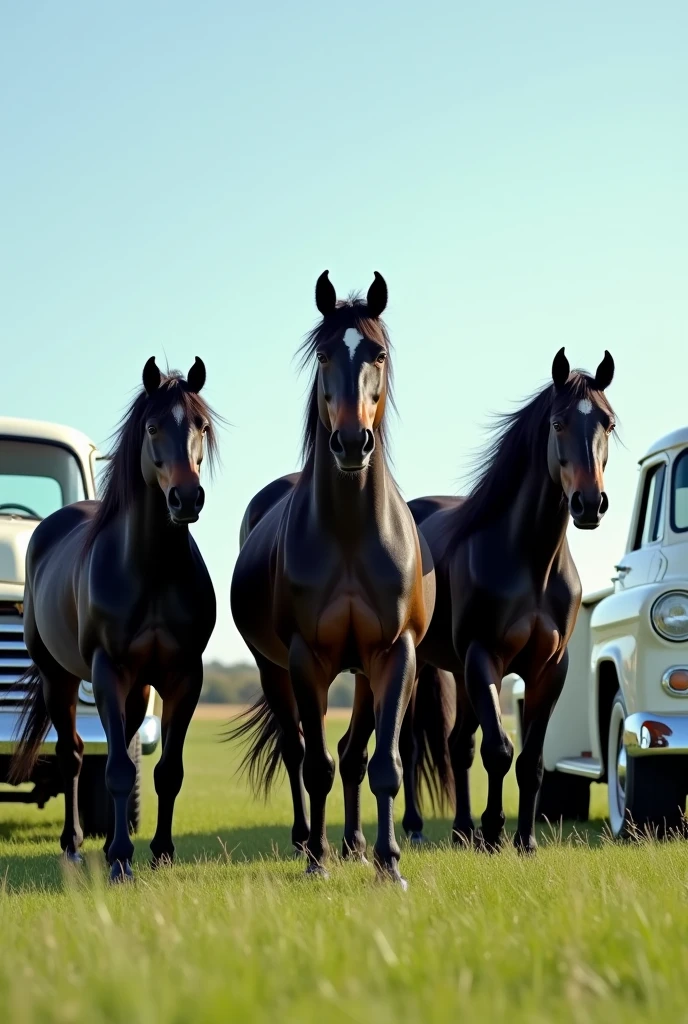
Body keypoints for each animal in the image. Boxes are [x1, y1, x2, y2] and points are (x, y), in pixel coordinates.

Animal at [232, 272, 436, 888]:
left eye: (379, 352)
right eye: (324, 354)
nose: (350, 442)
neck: (348, 533)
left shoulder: (394, 653)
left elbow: (382, 763)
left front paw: (389, 863)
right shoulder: (306, 658)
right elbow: (316, 765)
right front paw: (317, 863)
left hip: (365, 674)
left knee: (353, 753)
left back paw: (356, 846)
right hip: (273, 670)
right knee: (299, 752)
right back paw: (310, 841)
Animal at [401, 352, 614, 856]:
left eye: (609, 423)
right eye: (557, 423)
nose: (589, 504)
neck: (529, 562)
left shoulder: (548, 668)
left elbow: (531, 760)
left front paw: (525, 840)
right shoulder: (486, 657)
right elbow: (499, 750)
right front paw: (495, 832)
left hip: (457, 671)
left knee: (457, 745)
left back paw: (462, 830)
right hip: (422, 665)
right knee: (411, 746)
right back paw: (420, 828)